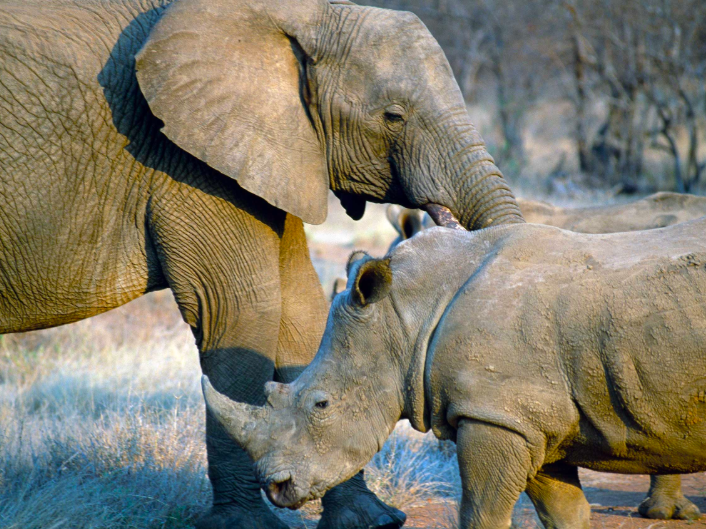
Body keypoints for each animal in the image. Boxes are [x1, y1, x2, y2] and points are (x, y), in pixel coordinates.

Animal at [0, 0, 524, 527]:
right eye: (393, 116)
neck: (299, 15)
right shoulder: (184, 159)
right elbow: (240, 311)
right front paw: (247, 524)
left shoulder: (276, 153)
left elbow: (301, 308)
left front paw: (369, 520)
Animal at [202, 218, 706, 529]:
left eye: (321, 404)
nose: (275, 486)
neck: (407, 316)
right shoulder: (531, 417)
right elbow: (565, 513)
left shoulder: (495, 413)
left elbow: (481, 513)